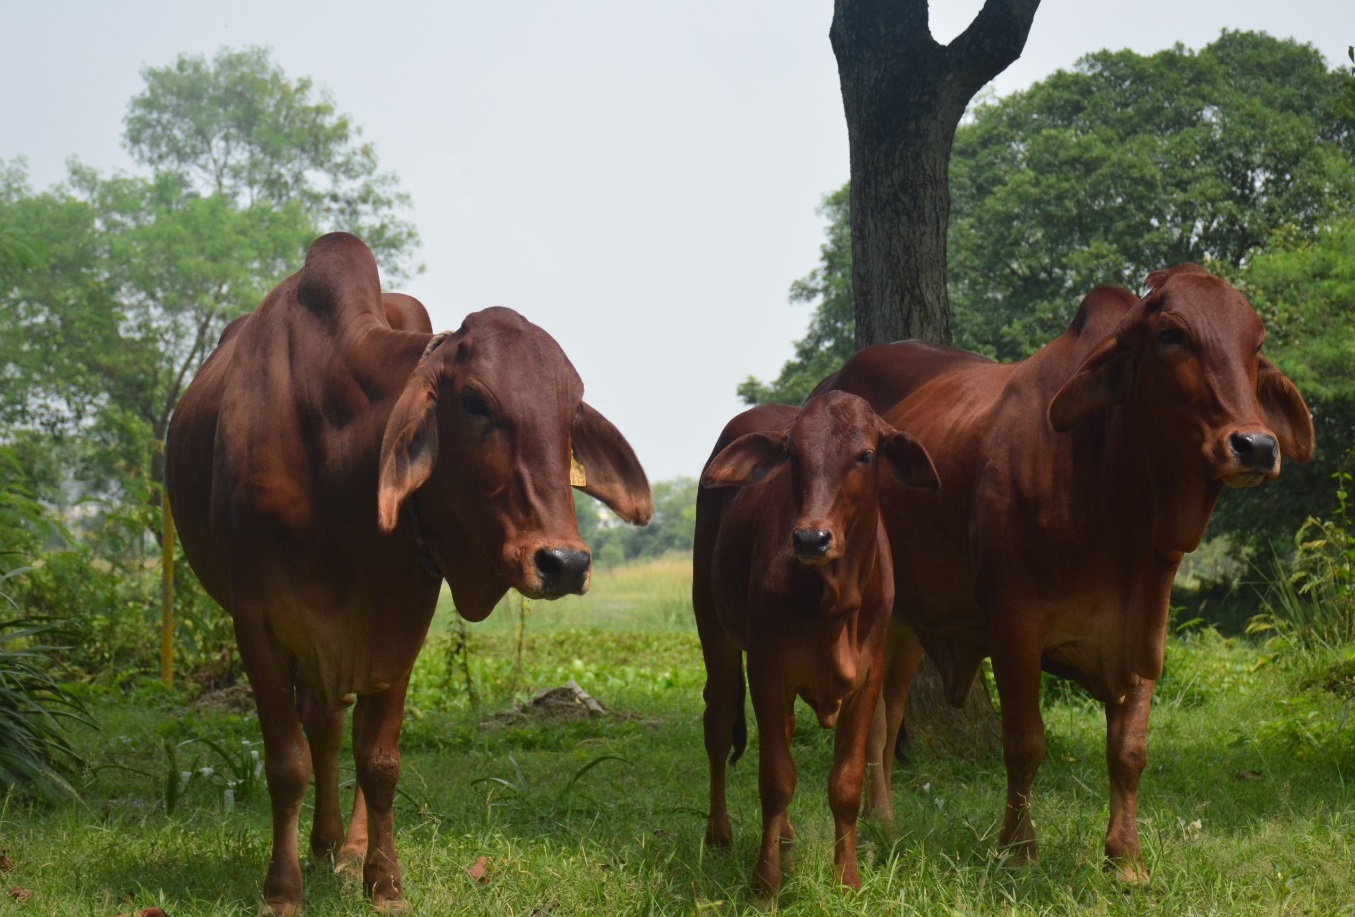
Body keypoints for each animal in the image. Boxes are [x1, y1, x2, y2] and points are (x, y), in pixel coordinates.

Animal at [164, 232, 652, 914]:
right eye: (475, 402)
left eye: (570, 410)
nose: (564, 563)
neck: (334, 458)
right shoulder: (255, 622)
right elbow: (286, 763)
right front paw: (281, 890)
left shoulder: (401, 620)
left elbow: (380, 759)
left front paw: (384, 880)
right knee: (321, 729)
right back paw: (321, 846)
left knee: (341, 730)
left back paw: (342, 849)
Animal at [692, 391, 939, 894]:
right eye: (793, 456)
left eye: (865, 455)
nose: (811, 538)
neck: (835, 599)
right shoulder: (766, 667)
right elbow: (775, 780)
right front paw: (765, 885)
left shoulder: (869, 675)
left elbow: (845, 782)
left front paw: (848, 879)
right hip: (713, 626)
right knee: (719, 722)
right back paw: (720, 834)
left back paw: (785, 839)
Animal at [817, 265, 1315, 883]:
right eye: (1171, 335)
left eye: (1257, 343)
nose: (1256, 445)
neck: (1109, 485)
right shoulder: (1014, 622)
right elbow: (1025, 742)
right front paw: (1018, 851)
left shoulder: (1144, 627)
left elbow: (1129, 749)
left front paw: (1126, 860)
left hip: (904, 621)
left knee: (888, 716)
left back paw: (885, 823)